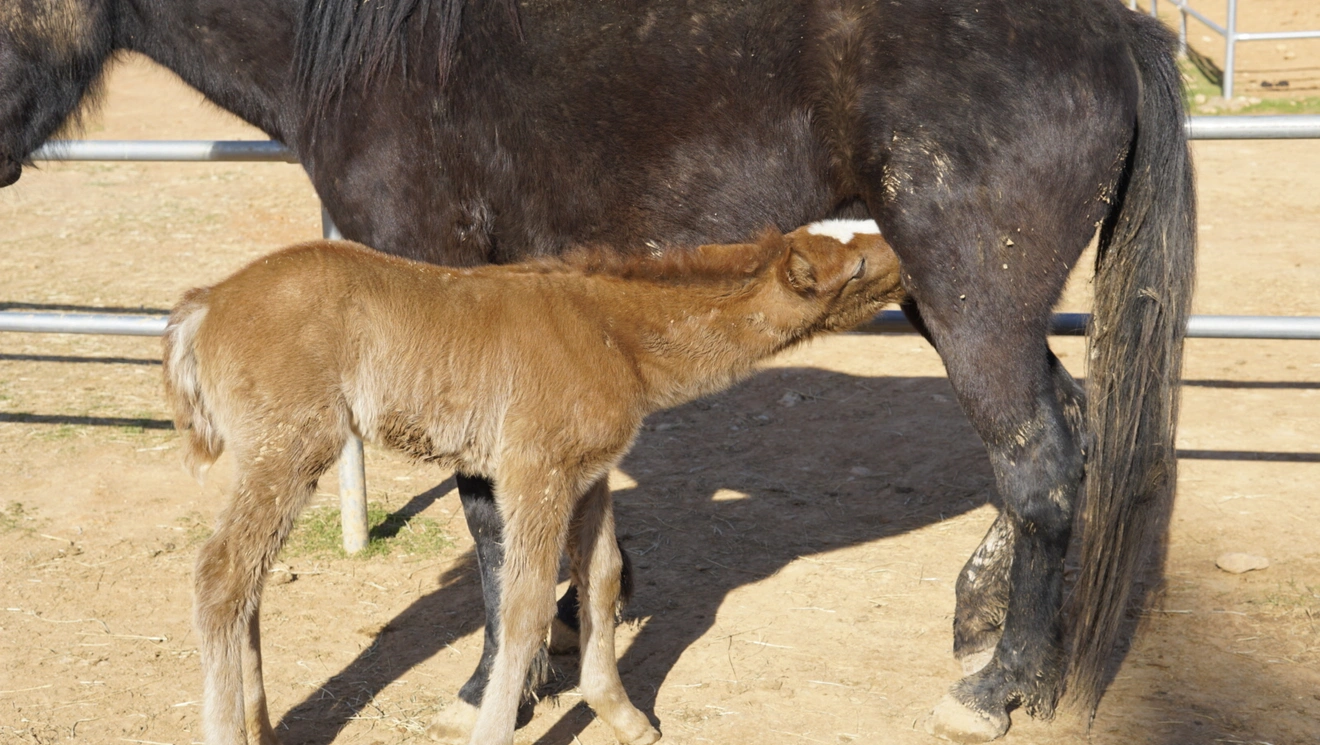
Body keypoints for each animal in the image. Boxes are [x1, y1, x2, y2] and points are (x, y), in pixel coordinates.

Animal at [163, 224, 905, 745]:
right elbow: (523, 608)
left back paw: (262, 730)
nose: (900, 254)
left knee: (248, 581)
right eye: (855, 268)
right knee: (220, 573)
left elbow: (601, 578)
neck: (612, 333)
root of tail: (205, 305)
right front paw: (496, 727)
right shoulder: (534, 470)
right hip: (291, 448)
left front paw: (622, 714)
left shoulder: (590, 472)